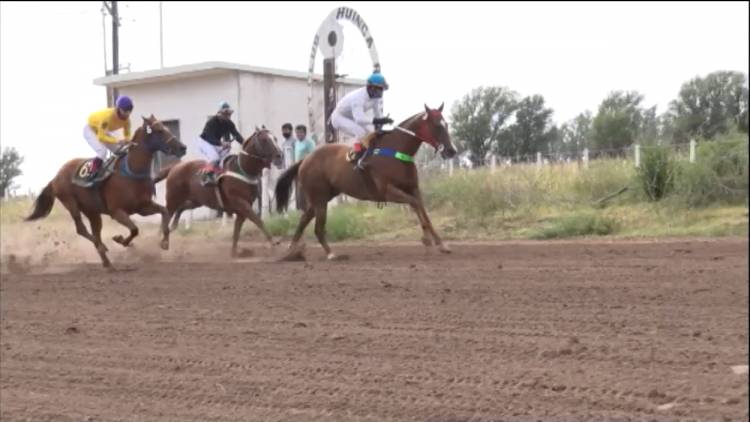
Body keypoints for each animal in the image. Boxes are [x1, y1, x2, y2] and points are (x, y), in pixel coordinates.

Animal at [24, 114, 188, 268]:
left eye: (166, 128)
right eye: (160, 131)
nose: (183, 147)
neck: (131, 171)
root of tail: (56, 176)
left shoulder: (143, 207)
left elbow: (164, 212)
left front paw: (164, 242)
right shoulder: (116, 211)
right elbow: (134, 229)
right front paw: (121, 240)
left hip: (92, 211)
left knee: (94, 231)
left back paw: (107, 262)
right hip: (70, 202)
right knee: (81, 229)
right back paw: (102, 247)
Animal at [154, 125, 284, 258]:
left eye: (275, 138)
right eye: (264, 140)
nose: (279, 156)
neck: (242, 169)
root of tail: (175, 167)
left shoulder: (241, 210)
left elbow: (236, 232)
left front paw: (234, 253)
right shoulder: (241, 204)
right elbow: (258, 221)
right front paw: (274, 242)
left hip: (196, 201)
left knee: (181, 208)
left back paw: (172, 228)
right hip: (173, 198)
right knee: (167, 214)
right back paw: (163, 241)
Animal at [276, 104, 458, 258]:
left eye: (446, 125)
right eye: (437, 126)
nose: (452, 150)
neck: (397, 151)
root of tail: (305, 159)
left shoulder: (413, 188)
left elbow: (423, 210)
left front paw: (441, 244)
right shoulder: (387, 191)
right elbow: (415, 204)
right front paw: (427, 240)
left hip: (323, 197)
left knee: (304, 219)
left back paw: (292, 250)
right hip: (319, 197)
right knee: (318, 228)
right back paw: (330, 254)